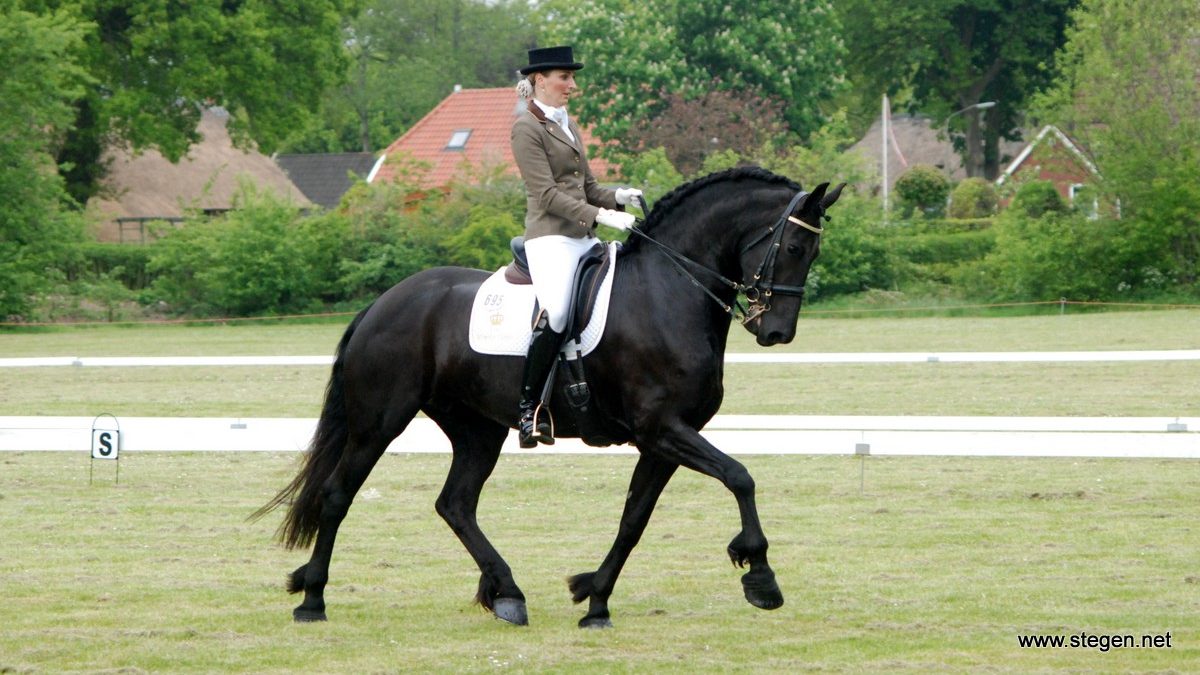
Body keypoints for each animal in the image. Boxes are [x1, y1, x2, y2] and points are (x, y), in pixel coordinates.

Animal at [256, 166, 844, 624]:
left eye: (814, 251)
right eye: (794, 246)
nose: (776, 332)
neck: (667, 291)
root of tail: (383, 303)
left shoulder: (664, 440)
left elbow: (634, 519)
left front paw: (595, 599)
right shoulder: (663, 429)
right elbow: (740, 477)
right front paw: (761, 576)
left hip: (476, 429)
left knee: (456, 504)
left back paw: (507, 594)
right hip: (379, 423)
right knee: (338, 495)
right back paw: (312, 600)